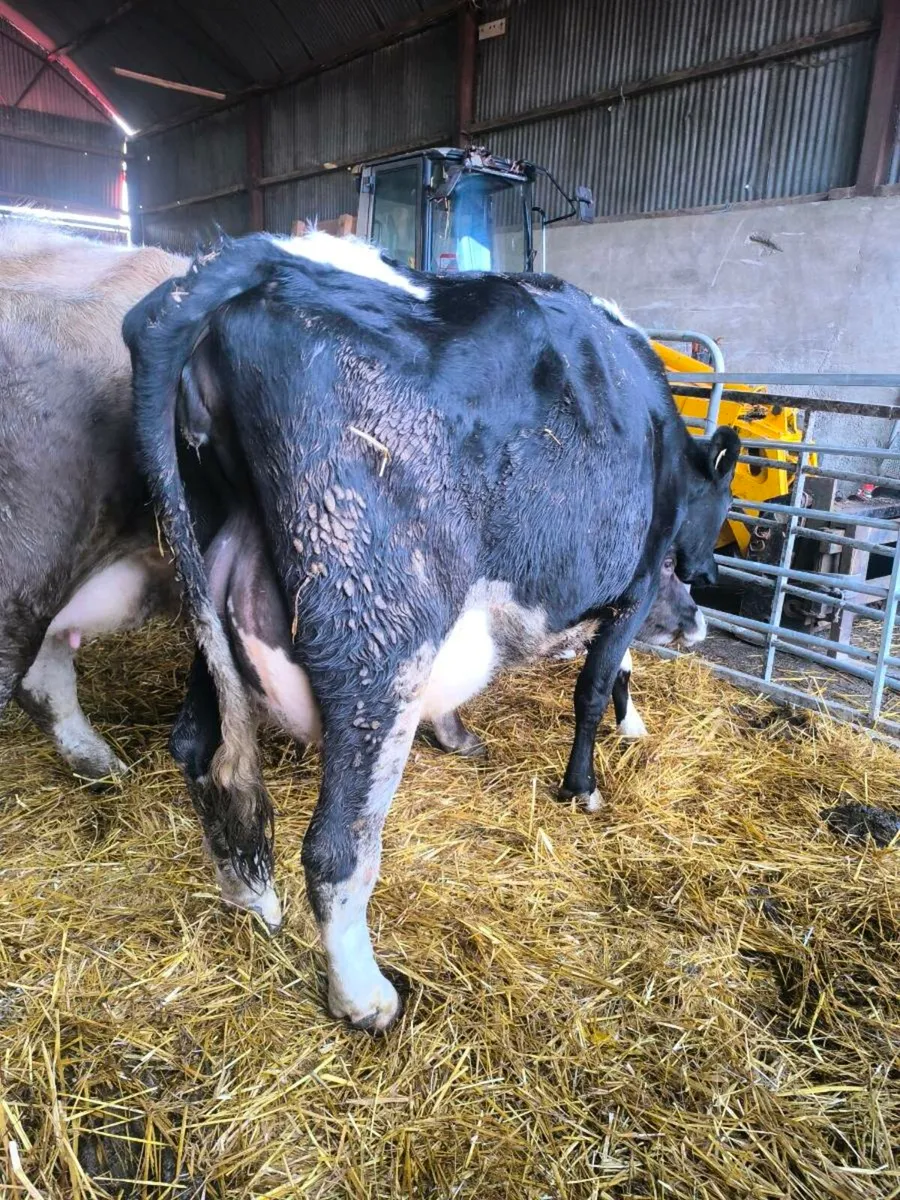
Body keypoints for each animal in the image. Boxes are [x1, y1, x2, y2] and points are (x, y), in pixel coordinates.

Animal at [124, 232, 740, 1032]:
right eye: (725, 500)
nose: (706, 598)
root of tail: (256, 257)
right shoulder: (633, 583)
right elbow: (599, 678)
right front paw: (586, 781)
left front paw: (461, 733)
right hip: (380, 633)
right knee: (335, 846)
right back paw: (365, 997)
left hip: (207, 583)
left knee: (203, 749)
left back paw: (248, 896)